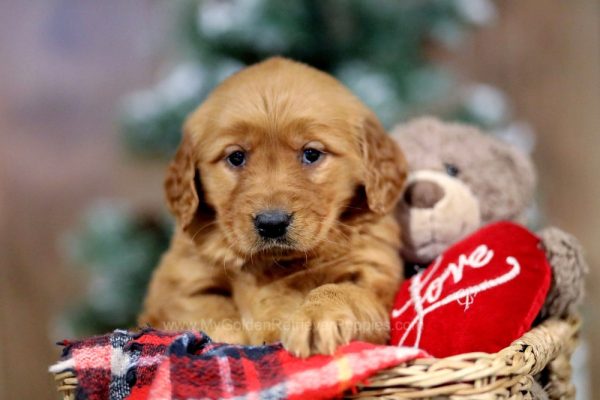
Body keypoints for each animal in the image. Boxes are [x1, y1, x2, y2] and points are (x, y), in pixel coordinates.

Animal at [138, 57, 406, 356]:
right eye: (236, 157)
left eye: (311, 153)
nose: (272, 223)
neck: (274, 263)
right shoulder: (178, 284)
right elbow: (207, 310)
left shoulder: (372, 269)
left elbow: (342, 290)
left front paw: (316, 319)